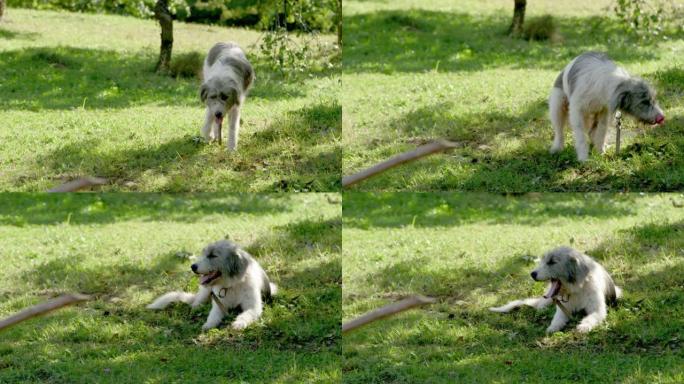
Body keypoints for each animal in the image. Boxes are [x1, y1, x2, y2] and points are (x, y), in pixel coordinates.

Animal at [147, 240, 276, 330]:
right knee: (195, 303)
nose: (193, 267)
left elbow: (247, 314)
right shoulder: (218, 305)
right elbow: (213, 316)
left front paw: (239, 323)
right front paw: (208, 324)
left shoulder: (253, 307)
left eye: (213, 255)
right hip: (205, 292)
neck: (231, 285)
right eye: (204, 254)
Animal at [492, 246, 620, 332]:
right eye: (544, 261)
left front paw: (584, 326)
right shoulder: (563, 309)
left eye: (552, 262)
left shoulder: (597, 310)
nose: (532, 274)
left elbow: (592, 317)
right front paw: (552, 327)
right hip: (549, 299)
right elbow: (557, 319)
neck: (576, 289)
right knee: (540, 305)